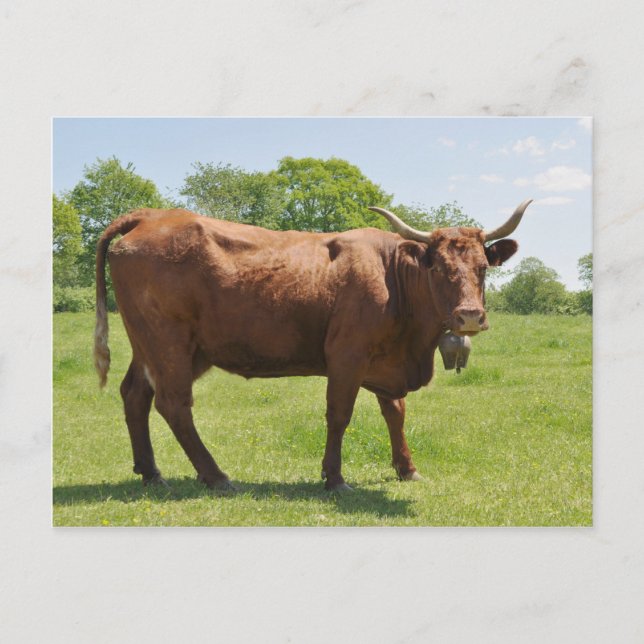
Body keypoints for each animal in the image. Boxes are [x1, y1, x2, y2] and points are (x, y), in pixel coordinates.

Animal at [94, 200, 531, 491]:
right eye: (438, 267)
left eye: (482, 268)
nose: (470, 316)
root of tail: (150, 215)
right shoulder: (347, 355)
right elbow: (339, 415)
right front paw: (334, 477)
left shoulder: (385, 360)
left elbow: (396, 413)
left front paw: (406, 468)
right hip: (168, 342)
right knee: (174, 404)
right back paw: (216, 476)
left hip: (157, 345)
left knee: (135, 394)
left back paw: (151, 472)